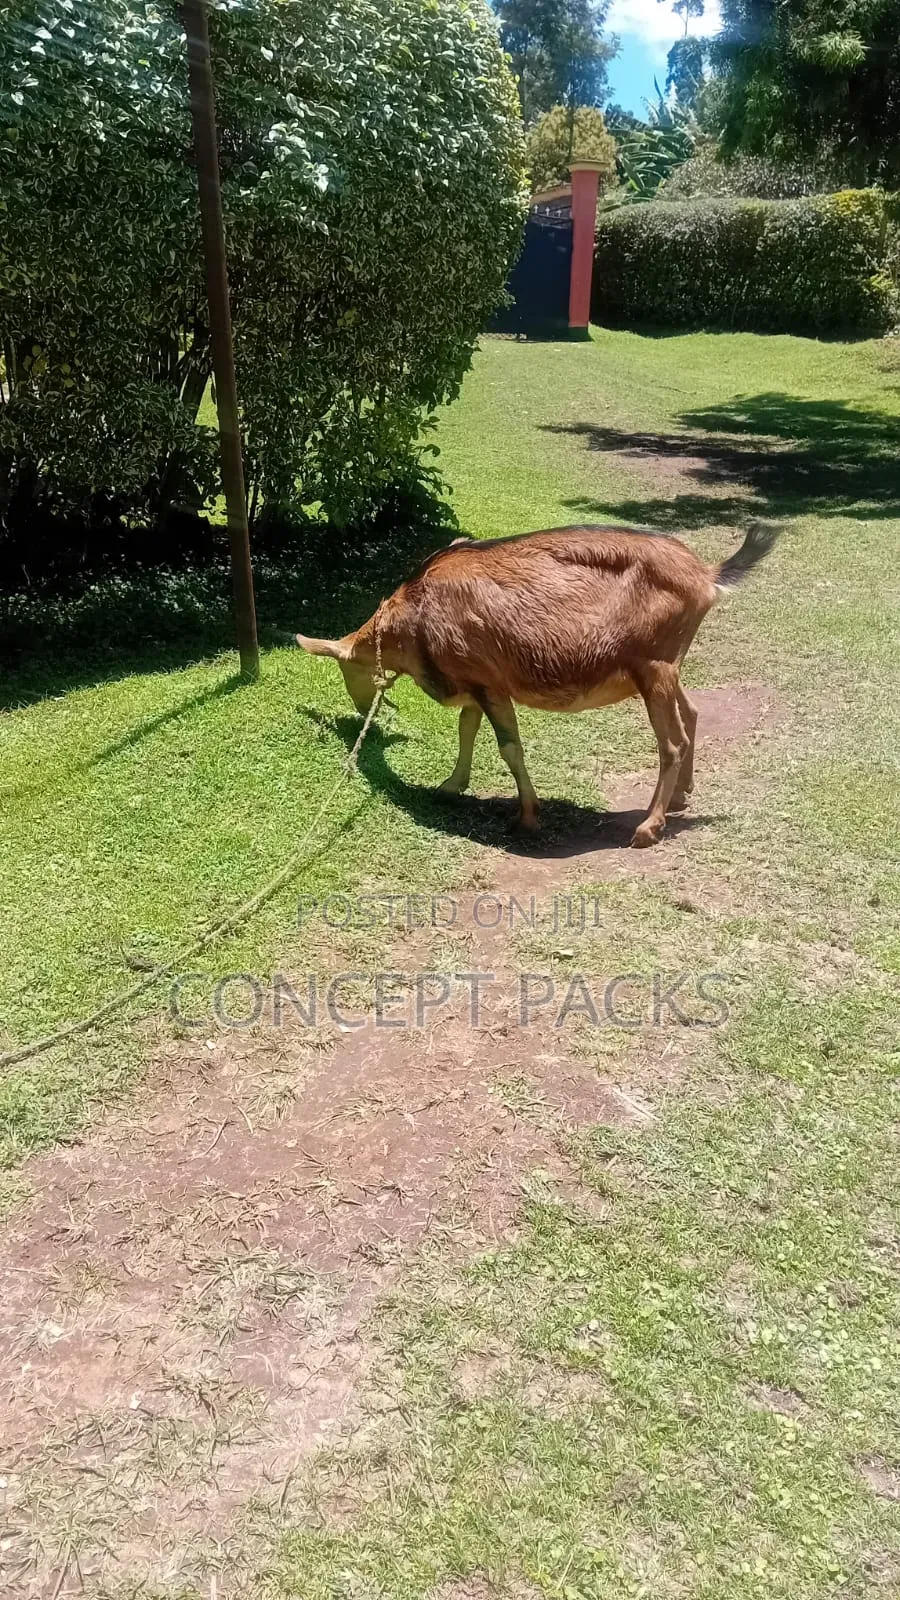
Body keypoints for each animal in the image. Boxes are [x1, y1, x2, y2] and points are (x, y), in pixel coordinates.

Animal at [296, 522, 777, 847]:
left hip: (654, 667)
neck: (414, 615)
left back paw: (647, 827)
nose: (362, 713)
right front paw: (452, 785)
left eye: (343, 671)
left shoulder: (489, 681)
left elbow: (510, 747)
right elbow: (466, 727)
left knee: (672, 743)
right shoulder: (475, 678)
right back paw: (679, 798)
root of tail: (707, 576)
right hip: (667, 665)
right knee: (692, 713)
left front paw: (527, 816)